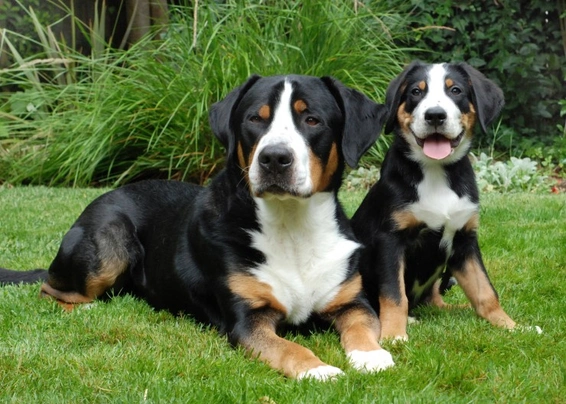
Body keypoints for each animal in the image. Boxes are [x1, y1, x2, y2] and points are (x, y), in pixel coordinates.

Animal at [0, 74, 394, 380]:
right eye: (255, 119)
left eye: (312, 119)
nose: (274, 158)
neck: (292, 226)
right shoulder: (247, 320)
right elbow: (288, 348)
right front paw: (319, 370)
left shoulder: (351, 300)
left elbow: (363, 325)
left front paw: (372, 356)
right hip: (109, 242)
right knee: (50, 289)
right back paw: (85, 308)